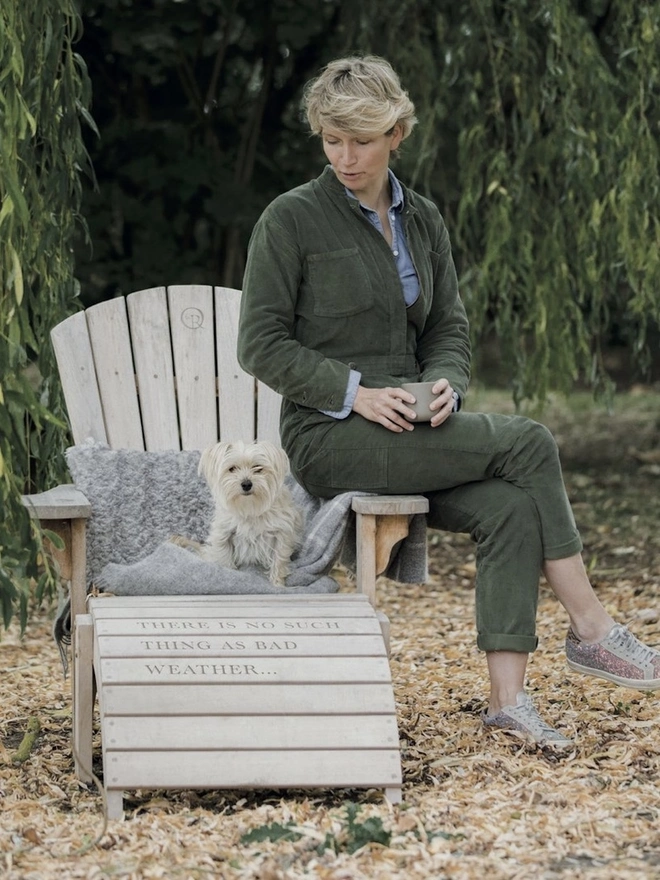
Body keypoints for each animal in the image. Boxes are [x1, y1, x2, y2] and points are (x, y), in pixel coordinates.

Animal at [197, 438, 302, 584]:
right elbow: (224, 558)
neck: (249, 508)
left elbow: (279, 560)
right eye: (232, 469)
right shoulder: (223, 534)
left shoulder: (282, 534)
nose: (246, 484)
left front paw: (277, 584)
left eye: (258, 468)